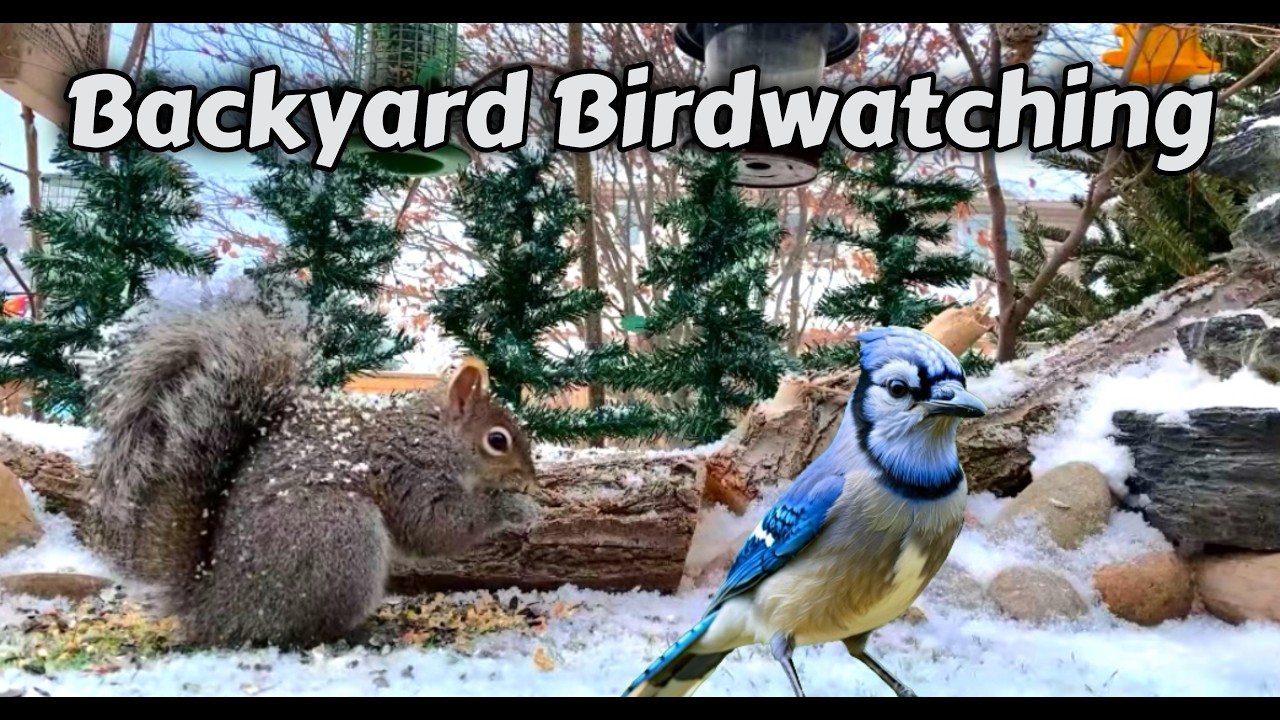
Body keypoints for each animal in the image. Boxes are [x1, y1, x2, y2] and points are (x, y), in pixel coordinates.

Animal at [82, 301, 541, 648]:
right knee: (305, 631)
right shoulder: (410, 475)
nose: (531, 477)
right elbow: (435, 527)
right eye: (497, 440)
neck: (434, 438)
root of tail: (213, 608)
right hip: (340, 535)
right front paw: (516, 506)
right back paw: (364, 631)